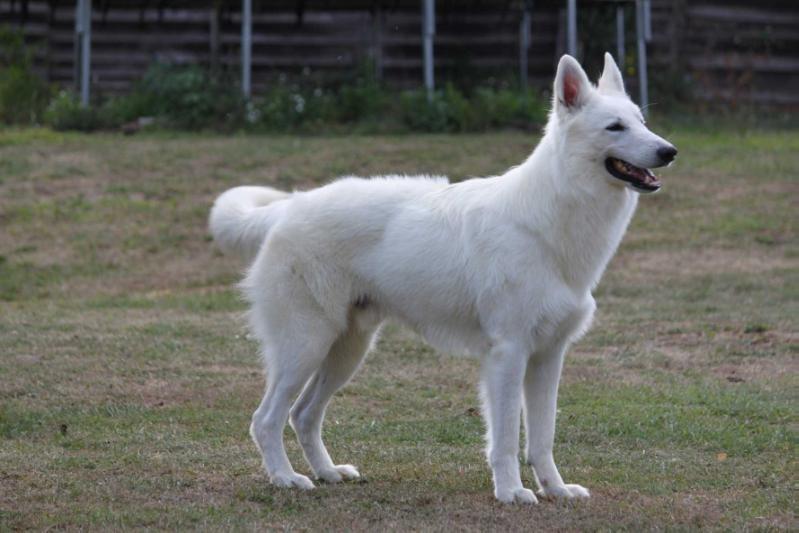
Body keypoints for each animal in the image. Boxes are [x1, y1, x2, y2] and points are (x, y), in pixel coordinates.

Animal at [211, 53, 676, 502]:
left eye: (641, 121)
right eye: (615, 127)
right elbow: (506, 439)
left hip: (346, 351)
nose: (669, 151)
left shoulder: (548, 357)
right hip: (304, 346)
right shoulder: (508, 355)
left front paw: (556, 489)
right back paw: (286, 478)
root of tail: (290, 206)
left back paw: (327, 472)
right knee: (266, 419)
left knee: (303, 414)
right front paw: (511, 492)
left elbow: (542, 438)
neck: (550, 221)